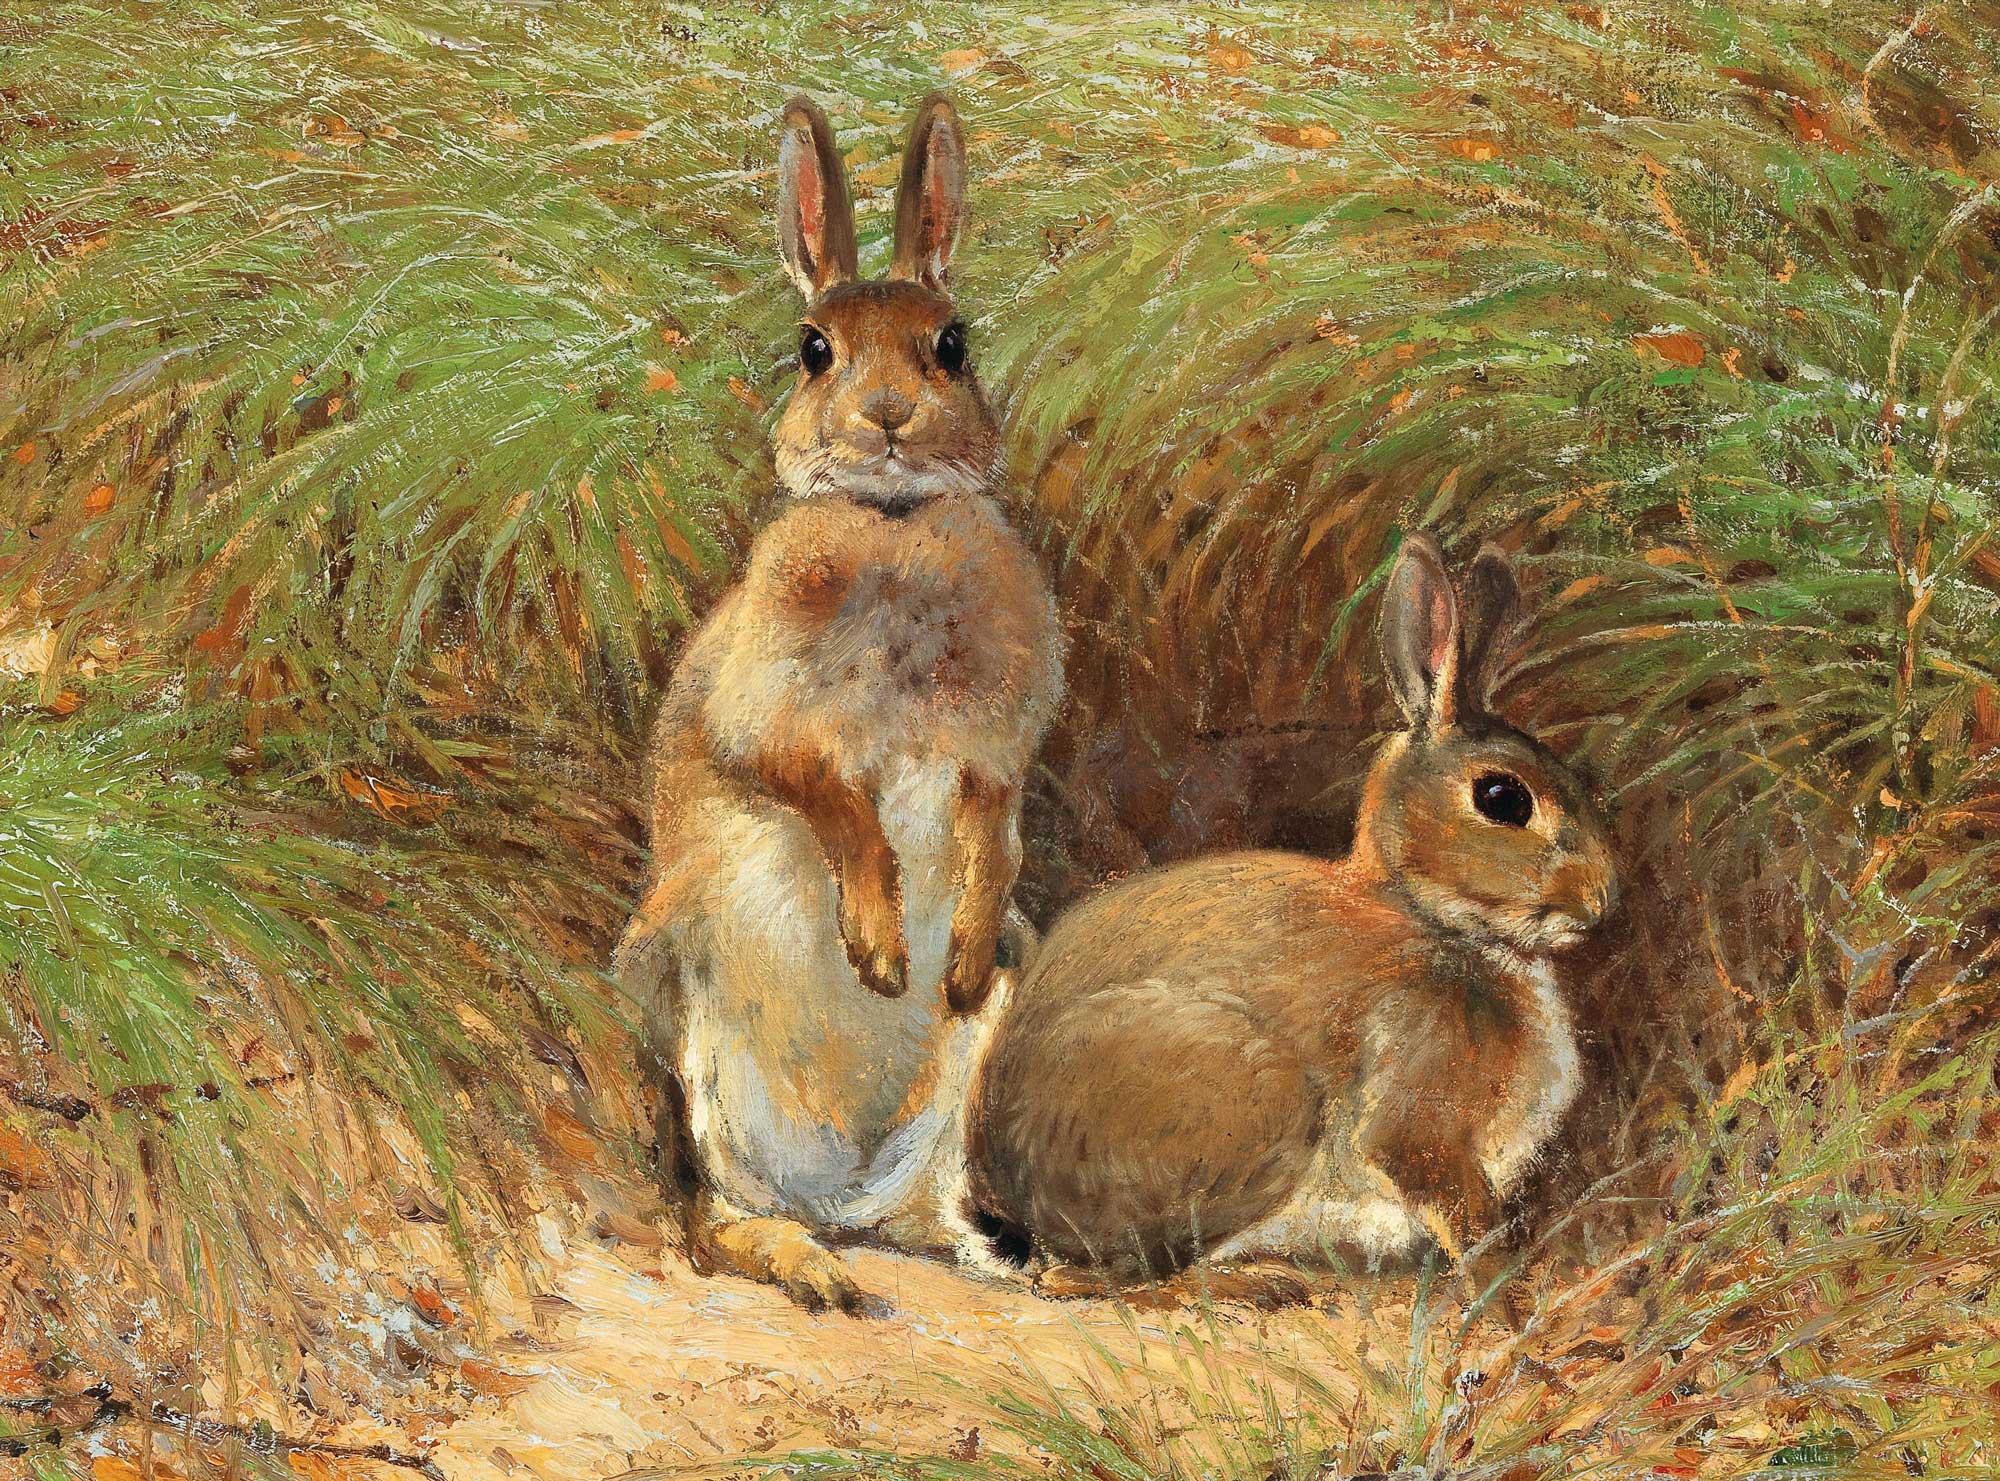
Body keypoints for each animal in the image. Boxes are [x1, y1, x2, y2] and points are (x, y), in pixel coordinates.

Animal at [614, 93, 1062, 1314]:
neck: (892, 527)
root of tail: (843, 1186)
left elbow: (991, 825)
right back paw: (808, 1265)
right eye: (814, 350)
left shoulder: (995, 751)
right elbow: (831, 797)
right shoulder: (764, 720)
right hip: (693, 1027)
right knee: (711, 1212)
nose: (890, 415)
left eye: (953, 343)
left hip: (967, 1065)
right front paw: (878, 951)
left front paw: (946, 959)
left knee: (930, 1207)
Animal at [966, 534, 1615, 1315]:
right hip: (1260, 1105)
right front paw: (1508, 1296)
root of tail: (1005, 1192)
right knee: (1102, 1279)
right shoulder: (1418, 1113)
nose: (1601, 901)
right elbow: (1464, 1214)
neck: (1431, 916)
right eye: (1502, 798)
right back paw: (1261, 1283)